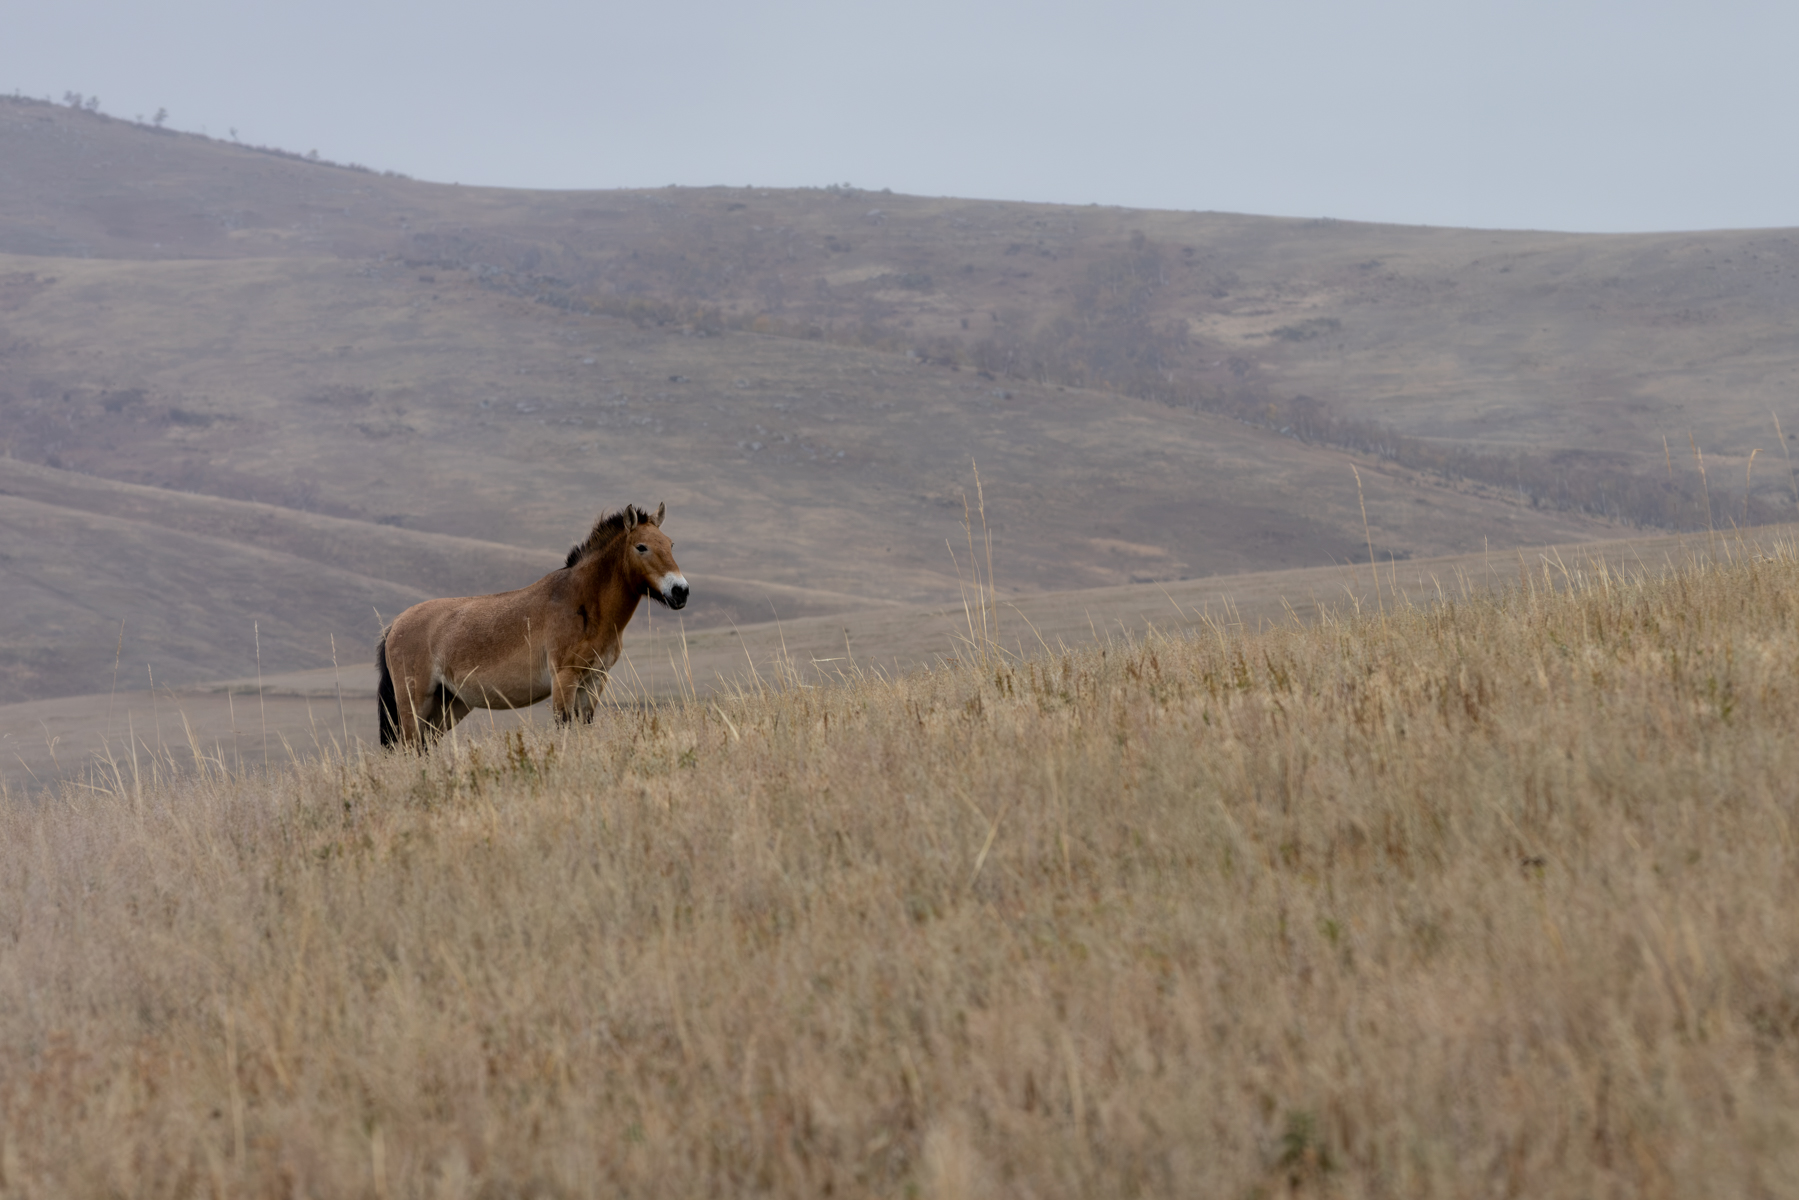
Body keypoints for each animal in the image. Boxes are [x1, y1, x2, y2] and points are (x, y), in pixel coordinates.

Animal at [375, 503, 688, 748]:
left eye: (671, 544)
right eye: (641, 547)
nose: (680, 591)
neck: (582, 603)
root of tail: (394, 627)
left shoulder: (594, 680)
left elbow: (584, 727)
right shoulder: (564, 678)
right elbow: (565, 728)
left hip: (448, 706)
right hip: (415, 703)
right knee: (411, 745)